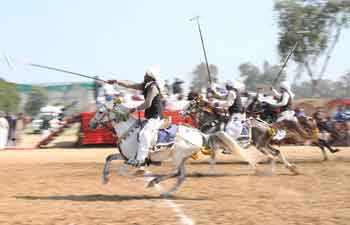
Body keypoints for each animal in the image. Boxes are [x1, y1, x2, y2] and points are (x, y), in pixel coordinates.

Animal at [89, 99, 256, 196]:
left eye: (101, 111)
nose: (91, 124)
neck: (128, 130)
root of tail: (200, 134)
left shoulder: (132, 159)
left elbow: (123, 170)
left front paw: (138, 173)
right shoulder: (125, 156)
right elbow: (109, 158)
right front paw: (105, 178)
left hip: (177, 156)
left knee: (175, 172)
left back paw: (154, 182)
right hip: (182, 158)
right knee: (181, 175)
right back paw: (168, 192)